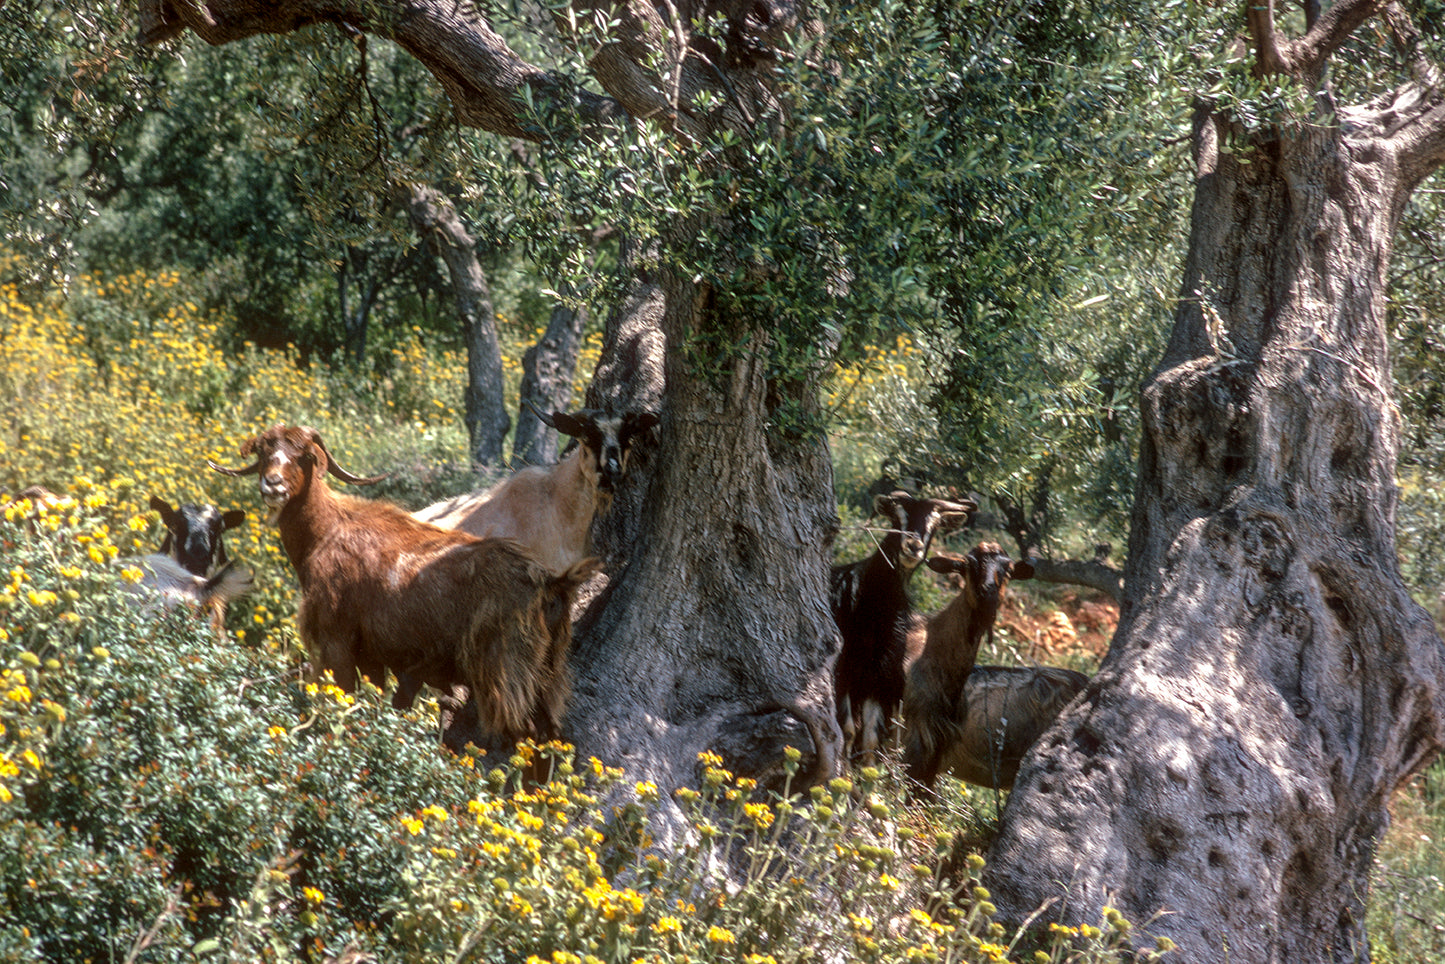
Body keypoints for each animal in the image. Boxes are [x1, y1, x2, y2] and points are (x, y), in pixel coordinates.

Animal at [206, 424, 595, 751]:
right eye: (264, 452)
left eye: (303, 454)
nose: (272, 485)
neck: (327, 531)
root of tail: (551, 583)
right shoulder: (376, 658)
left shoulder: (337, 640)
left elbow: (345, 693)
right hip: (548, 673)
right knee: (548, 733)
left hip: (505, 674)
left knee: (519, 732)